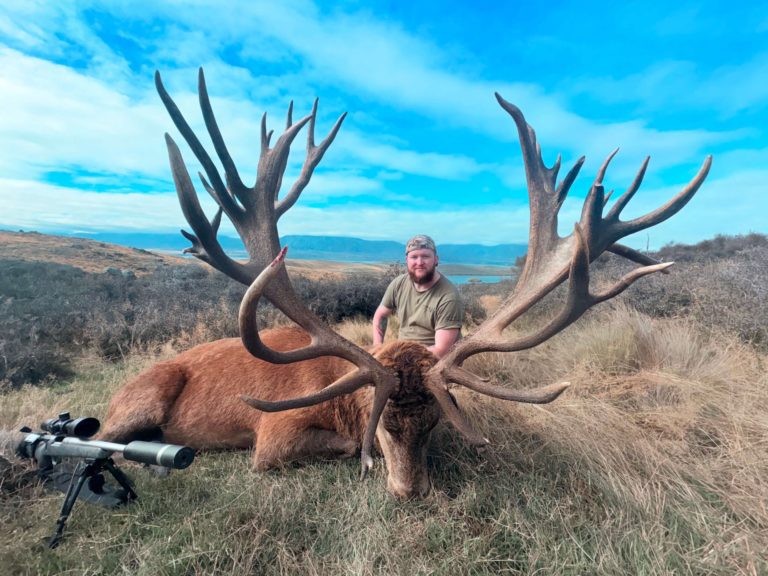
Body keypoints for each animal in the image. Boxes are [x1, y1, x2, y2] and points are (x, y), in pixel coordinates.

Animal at [100, 68, 712, 498]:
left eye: (435, 425)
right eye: (386, 426)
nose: (411, 491)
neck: (342, 396)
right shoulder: (273, 436)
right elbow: (339, 447)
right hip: (140, 398)